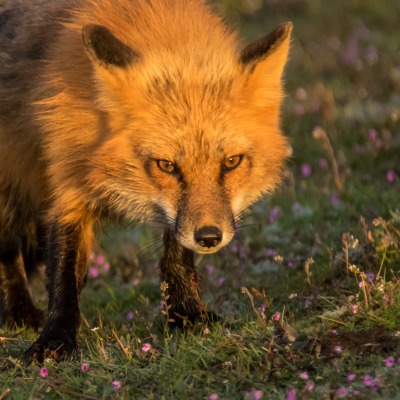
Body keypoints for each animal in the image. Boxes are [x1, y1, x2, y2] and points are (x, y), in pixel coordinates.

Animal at [0, 0, 290, 362]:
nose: (210, 238)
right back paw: (18, 311)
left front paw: (187, 312)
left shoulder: (181, 218)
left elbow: (176, 253)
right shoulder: (67, 175)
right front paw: (54, 341)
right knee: (7, 248)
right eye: (166, 166)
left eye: (232, 162)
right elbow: (63, 274)